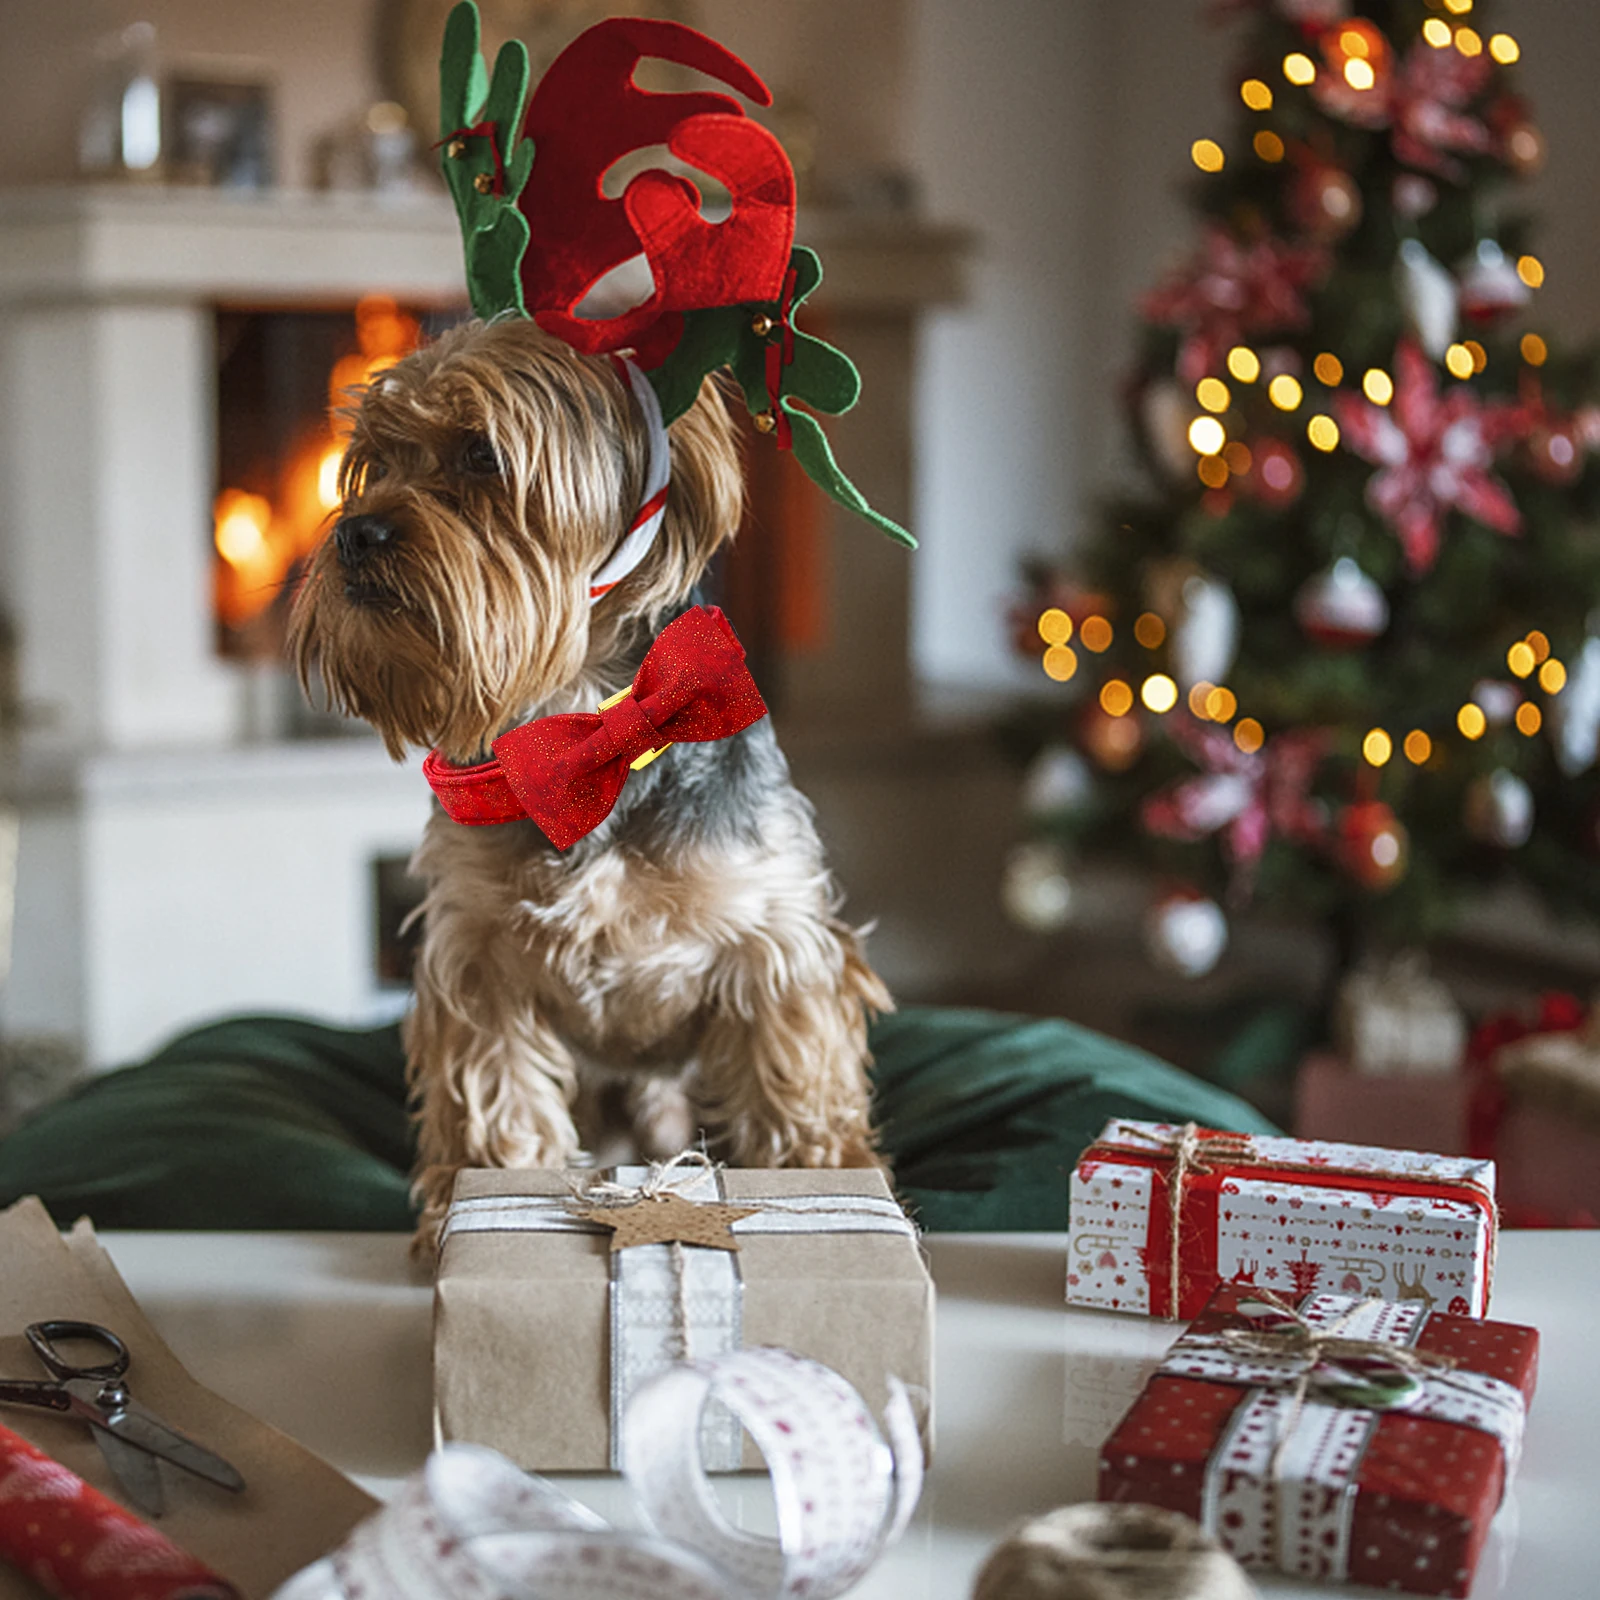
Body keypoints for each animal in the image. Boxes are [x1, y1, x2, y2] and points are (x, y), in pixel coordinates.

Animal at [288, 308, 889, 1235]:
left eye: (482, 454)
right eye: (375, 463)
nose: (353, 531)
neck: (583, 734)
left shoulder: (773, 936)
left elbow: (792, 1080)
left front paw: (819, 1176)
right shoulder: (478, 955)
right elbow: (495, 1095)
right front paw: (470, 1203)